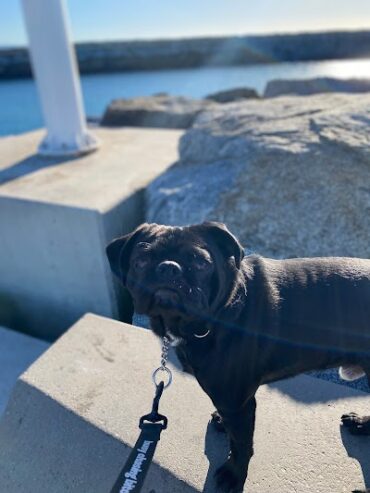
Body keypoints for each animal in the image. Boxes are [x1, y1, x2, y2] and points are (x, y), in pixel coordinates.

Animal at [106, 222, 370, 492]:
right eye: (141, 260)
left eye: (201, 263)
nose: (168, 267)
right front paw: (222, 423)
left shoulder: (238, 404)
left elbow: (241, 445)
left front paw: (234, 473)